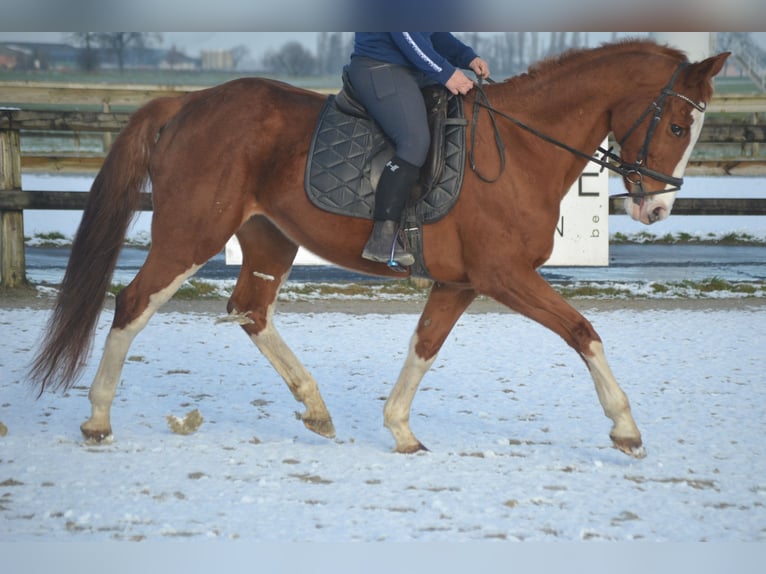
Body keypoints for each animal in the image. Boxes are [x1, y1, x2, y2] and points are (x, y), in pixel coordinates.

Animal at [30, 41, 728, 460]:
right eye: (674, 125)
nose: (656, 209)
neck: (523, 148)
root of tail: (187, 102)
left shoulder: (460, 283)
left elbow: (424, 346)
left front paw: (399, 428)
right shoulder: (504, 275)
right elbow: (584, 332)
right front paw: (626, 427)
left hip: (269, 238)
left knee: (251, 309)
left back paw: (315, 408)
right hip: (189, 234)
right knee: (133, 304)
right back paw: (97, 419)